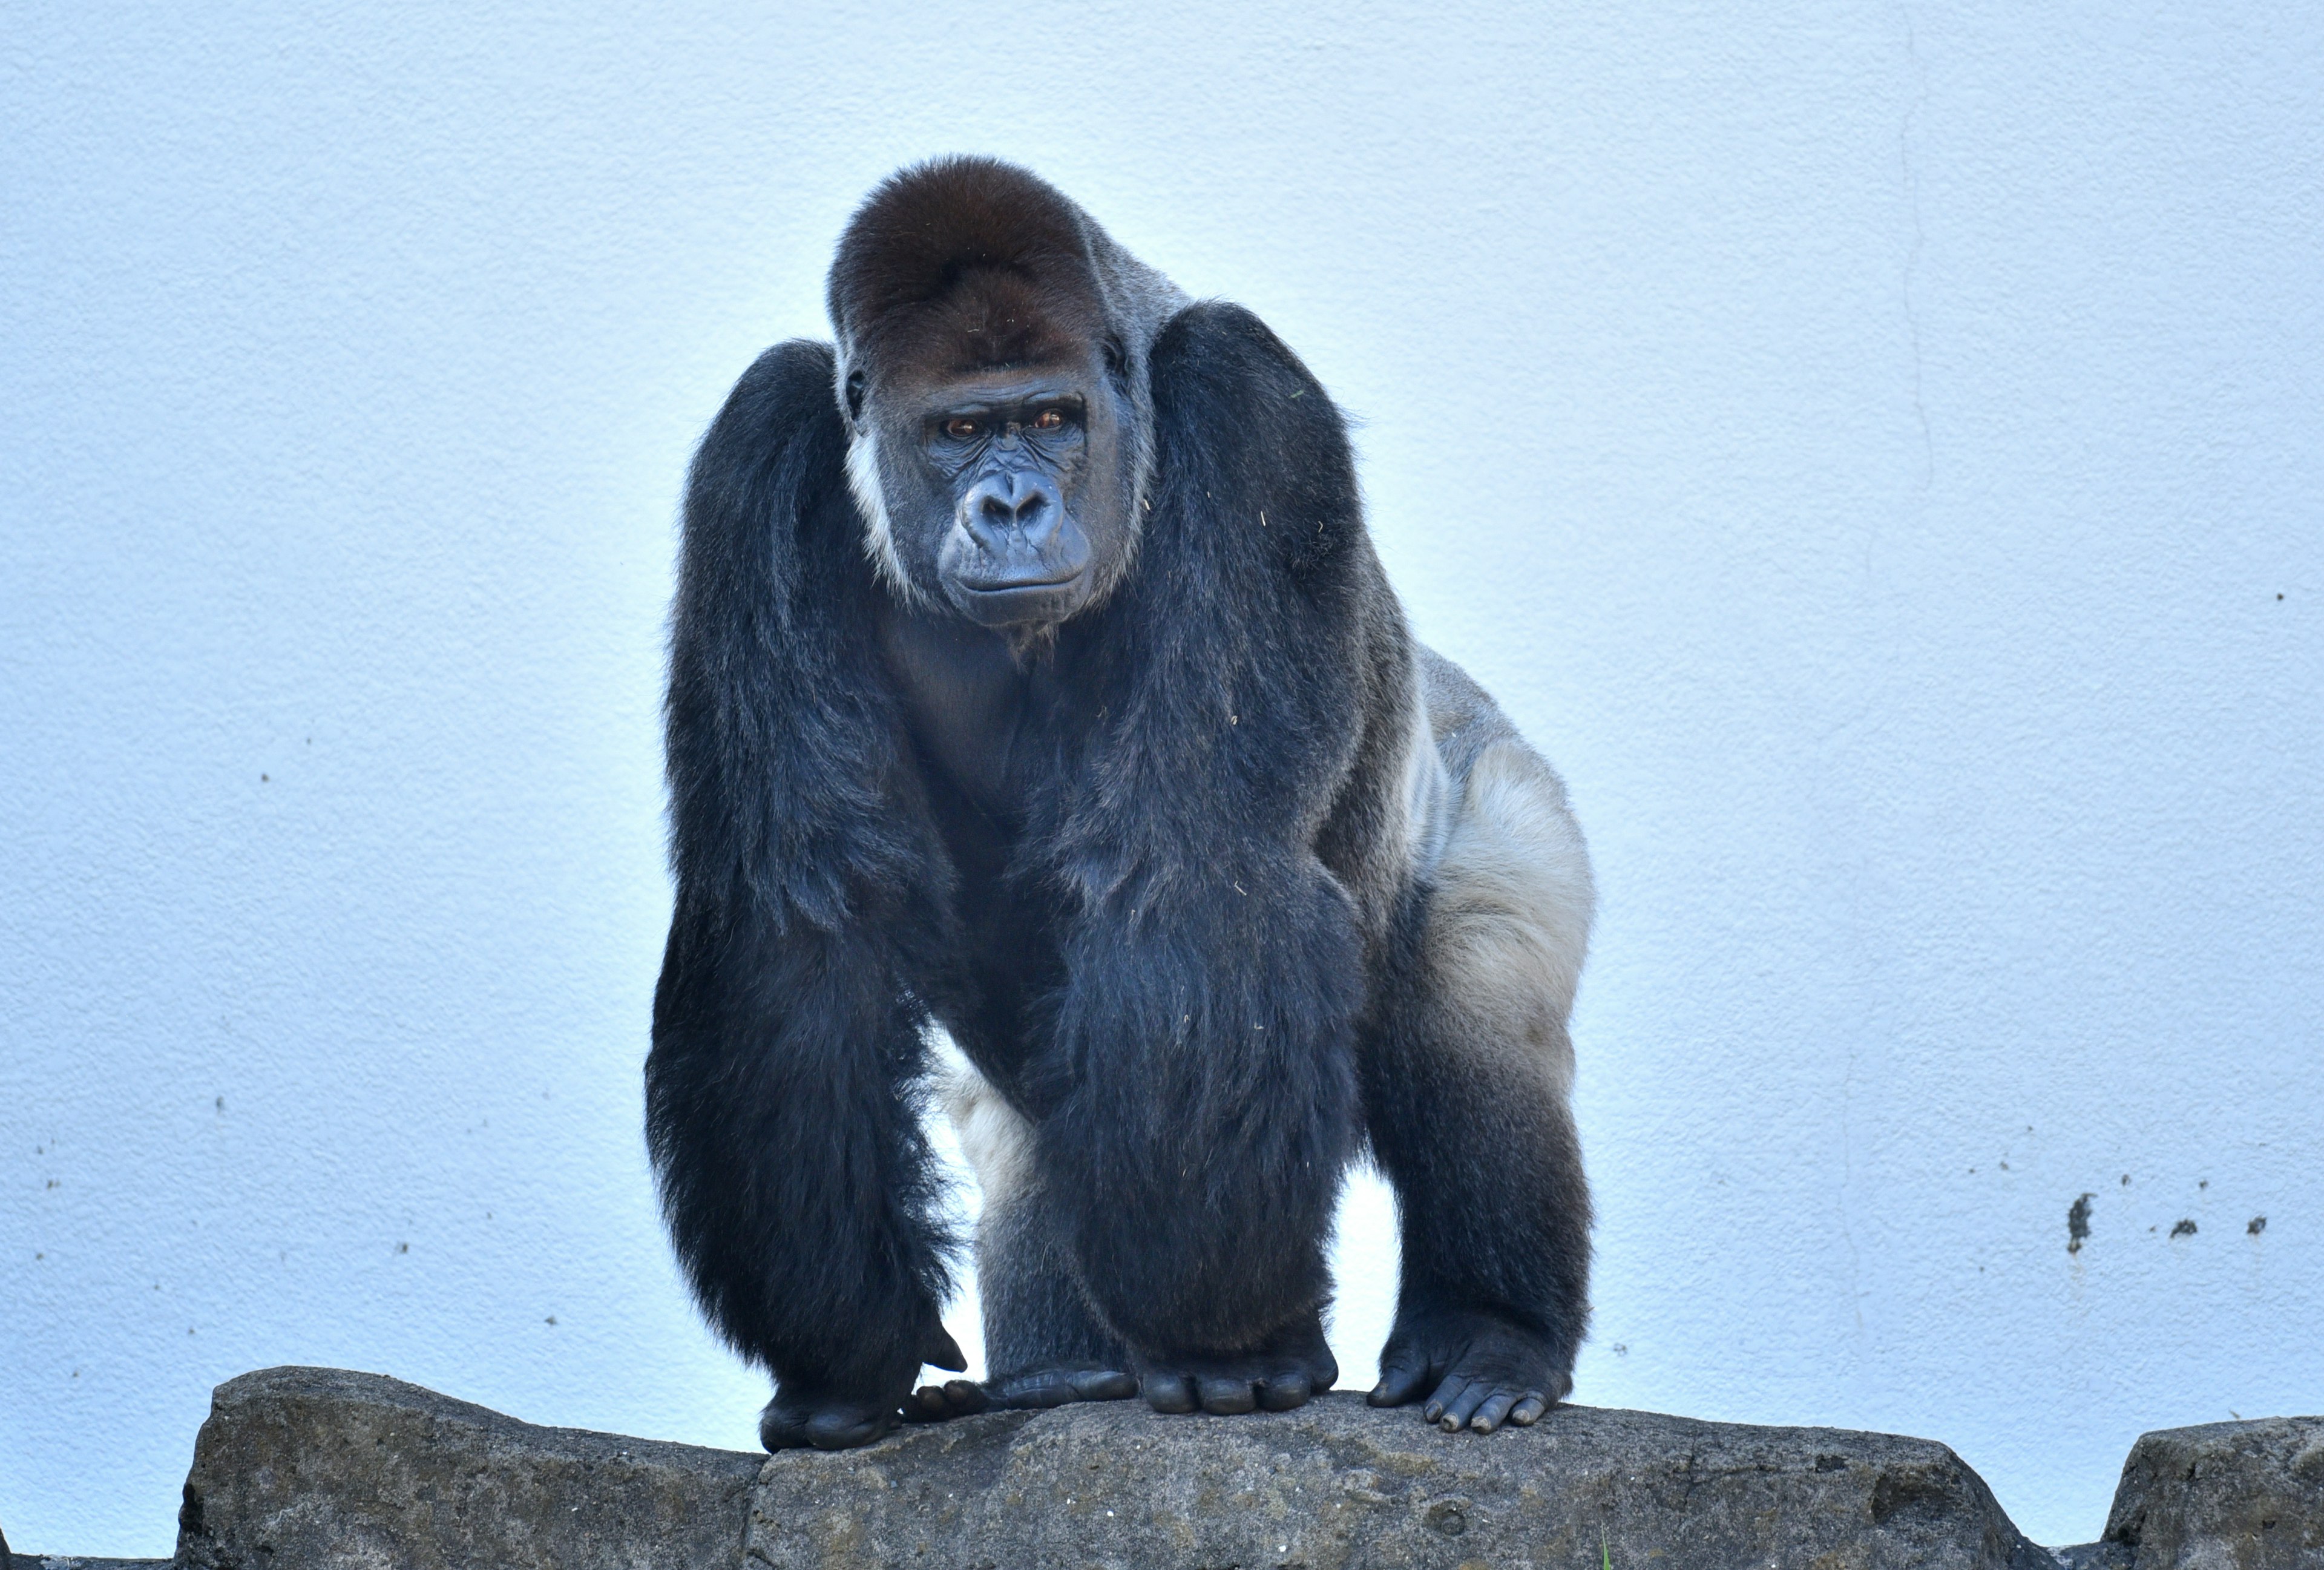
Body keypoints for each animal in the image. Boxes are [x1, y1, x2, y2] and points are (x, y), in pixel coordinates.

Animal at [655, 157, 1598, 1449]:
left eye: (1053, 418)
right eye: (960, 430)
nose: (1011, 507)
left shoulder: (1250, 401)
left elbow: (1189, 854)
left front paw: (1228, 1341)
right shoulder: (763, 437)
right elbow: (801, 895)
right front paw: (844, 1347)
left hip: (1491, 774)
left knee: (1478, 974)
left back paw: (1490, 1332)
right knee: (1025, 1137)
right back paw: (1073, 1366)